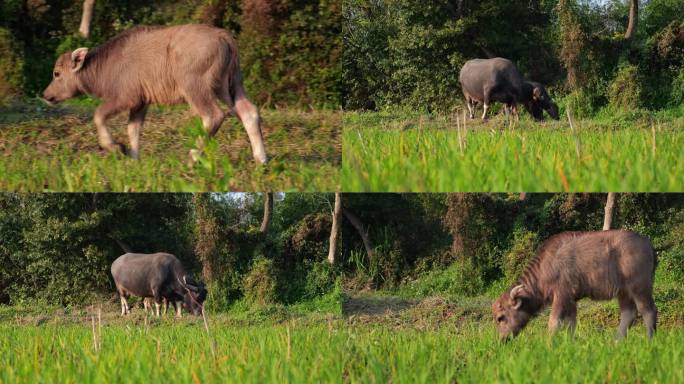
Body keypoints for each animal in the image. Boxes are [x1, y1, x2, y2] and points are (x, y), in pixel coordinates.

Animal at [42, 24, 268, 162]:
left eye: (57, 73)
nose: (46, 95)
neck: (105, 67)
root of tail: (224, 37)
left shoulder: (125, 98)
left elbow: (98, 115)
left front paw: (116, 148)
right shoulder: (141, 103)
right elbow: (133, 129)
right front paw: (134, 159)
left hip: (195, 87)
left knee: (214, 115)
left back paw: (193, 157)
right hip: (230, 85)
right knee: (248, 111)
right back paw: (261, 159)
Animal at [492, 230, 656, 340]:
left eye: (501, 317)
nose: (502, 340)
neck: (548, 265)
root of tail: (648, 244)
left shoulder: (561, 296)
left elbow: (553, 322)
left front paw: (549, 344)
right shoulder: (571, 301)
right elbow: (571, 324)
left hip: (639, 288)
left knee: (648, 311)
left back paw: (650, 339)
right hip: (623, 293)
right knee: (628, 314)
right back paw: (616, 341)